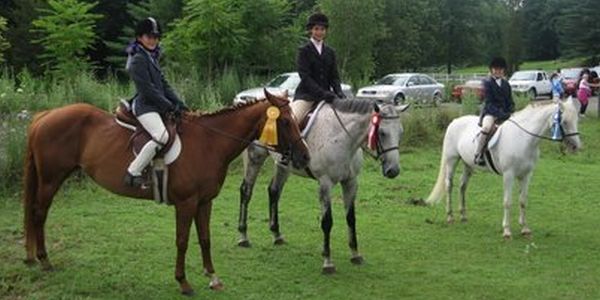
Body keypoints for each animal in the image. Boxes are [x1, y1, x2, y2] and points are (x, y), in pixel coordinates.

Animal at [22, 91, 310, 296]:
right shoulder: (186, 203)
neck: (210, 142)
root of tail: (45, 115)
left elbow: (205, 238)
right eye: (285, 121)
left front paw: (213, 277)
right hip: (51, 179)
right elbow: (182, 241)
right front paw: (183, 283)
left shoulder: (204, 202)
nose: (304, 156)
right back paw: (44, 260)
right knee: (39, 214)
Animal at [237, 99, 410, 274]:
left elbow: (351, 218)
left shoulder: (351, 182)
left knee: (274, 191)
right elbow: (327, 222)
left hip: (282, 166)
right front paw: (328, 262)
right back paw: (243, 236)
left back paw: (276, 235)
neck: (340, 138)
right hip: (255, 157)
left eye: (401, 133)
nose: (393, 170)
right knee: (246, 191)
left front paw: (355, 254)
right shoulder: (325, 183)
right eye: (381, 133)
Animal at [426, 98, 580, 239]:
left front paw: (525, 229)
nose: (576, 147)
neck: (523, 139)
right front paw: (506, 231)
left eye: (576, 120)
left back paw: (463, 216)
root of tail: (455, 121)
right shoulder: (509, 175)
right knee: (449, 185)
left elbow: (523, 201)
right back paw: (450, 216)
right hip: (452, 160)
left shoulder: (526, 175)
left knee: (462, 186)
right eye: (564, 122)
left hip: (468, 164)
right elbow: (507, 202)